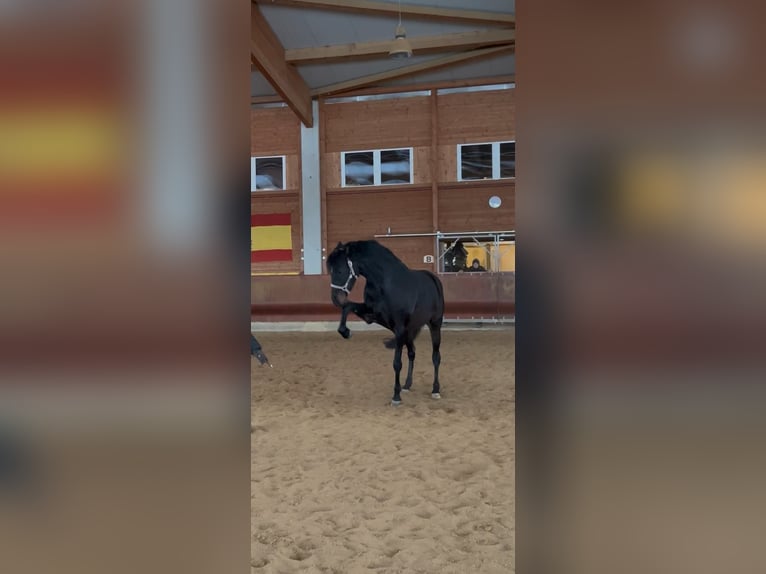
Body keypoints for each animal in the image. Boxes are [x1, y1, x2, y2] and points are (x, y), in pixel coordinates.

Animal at [327, 240, 444, 405]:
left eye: (339, 270)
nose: (336, 299)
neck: (385, 283)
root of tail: (433, 279)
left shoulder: (399, 328)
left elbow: (397, 363)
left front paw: (396, 396)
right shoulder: (374, 315)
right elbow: (348, 307)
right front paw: (345, 332)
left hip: (435, 324)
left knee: (436, 357)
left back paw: (435, 390)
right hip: (410, 330)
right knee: (412, 353)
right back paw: (407, 385)